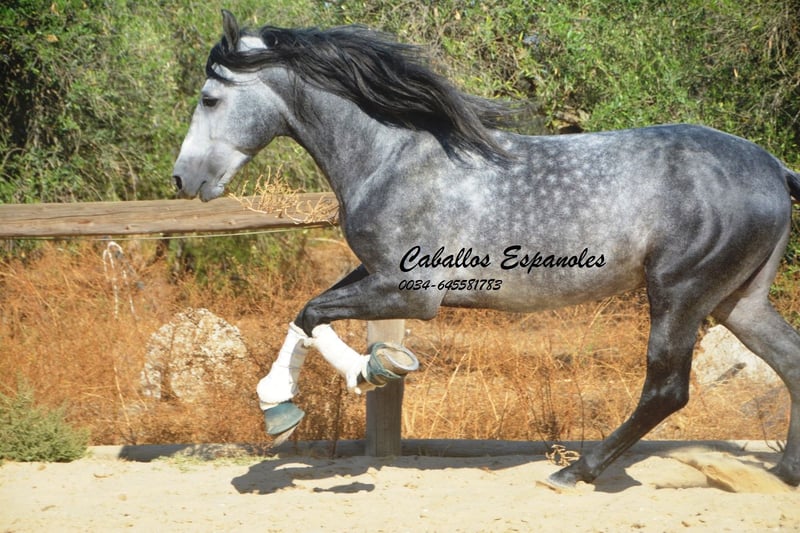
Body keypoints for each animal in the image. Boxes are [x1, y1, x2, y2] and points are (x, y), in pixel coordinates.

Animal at [172, 10, 800, 489]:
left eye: (209, 98)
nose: (183, 179)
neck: (393, 157)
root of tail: (773, 167)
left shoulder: (414, 293)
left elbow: (311, 311)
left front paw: (346, 380)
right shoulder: (377, 273)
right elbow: (305, 314)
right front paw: (307, 394)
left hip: (680, 292)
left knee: (666, 390)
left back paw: (575, 471)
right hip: (737, 301)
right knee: (790, 360)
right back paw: (786, 472)